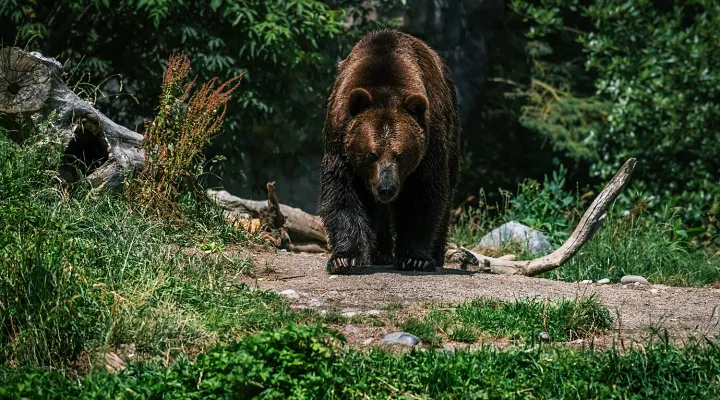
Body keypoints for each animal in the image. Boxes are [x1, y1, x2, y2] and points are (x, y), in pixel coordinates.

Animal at [316, 28, 462, 274]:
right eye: (371, 154)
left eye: (400, 154)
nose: (386, 188)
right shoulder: (340, 137)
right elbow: (342, 192)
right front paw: (344, 258)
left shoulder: (430, 141)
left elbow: (423, 194)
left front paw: (415, 258)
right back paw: (380, 252)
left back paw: (435, 254)